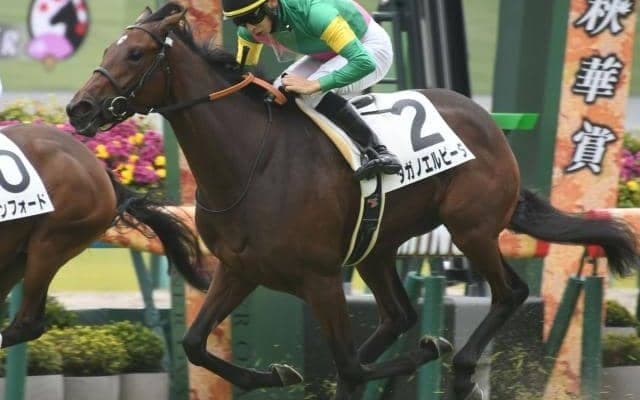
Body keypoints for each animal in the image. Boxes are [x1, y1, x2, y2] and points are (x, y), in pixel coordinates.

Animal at [65, 3, 639, 399]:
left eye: (135, 53)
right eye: (107, 50)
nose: (79, 108)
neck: (251, 162)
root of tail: (490, 125)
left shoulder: (319, 279)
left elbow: (347, 363)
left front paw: (423, 354)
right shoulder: (239, 268)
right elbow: (194, 344)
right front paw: (275, 373)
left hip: (471, 228)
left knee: (510, 292)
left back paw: (458, 368)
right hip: (378, 246)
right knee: (400, 315)